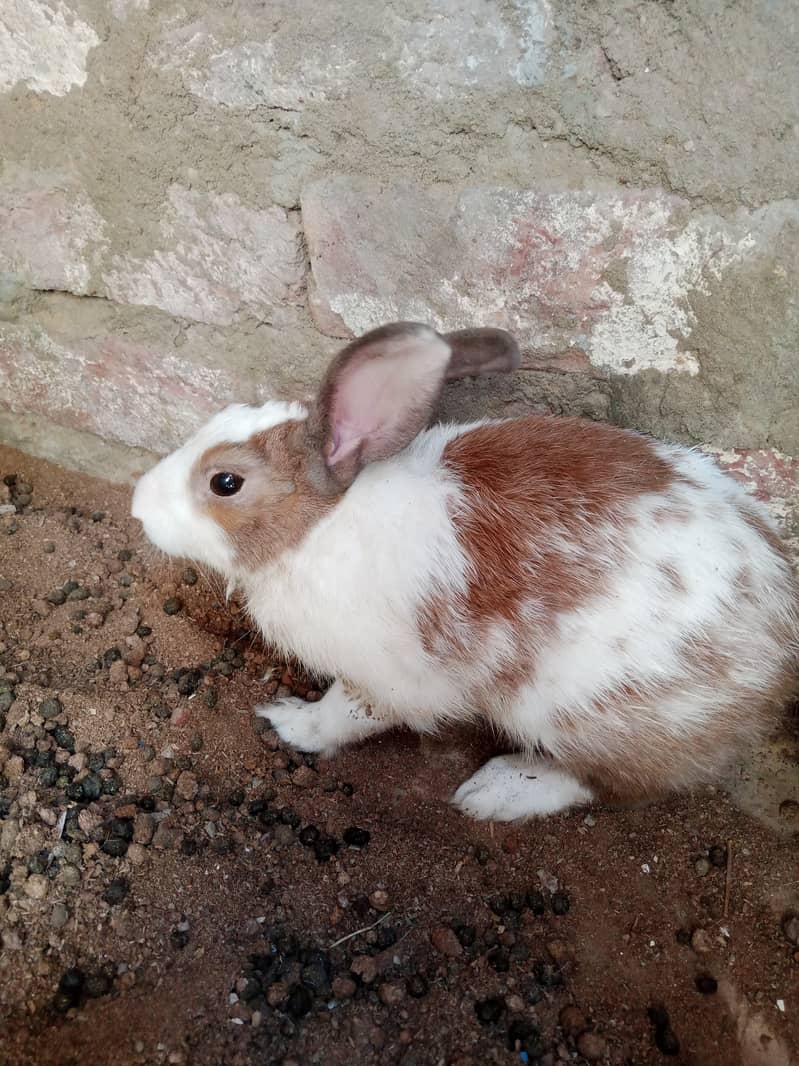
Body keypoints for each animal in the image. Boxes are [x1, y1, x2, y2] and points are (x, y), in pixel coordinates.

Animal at [131, 322, 799, 820]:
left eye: (225, 483)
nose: (138, 504)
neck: (323, 525)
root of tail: (779, 644)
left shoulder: (387, 679)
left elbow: (344, 714)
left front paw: (292, 724)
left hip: (587, 716)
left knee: (606, 783)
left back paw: (498, 792)